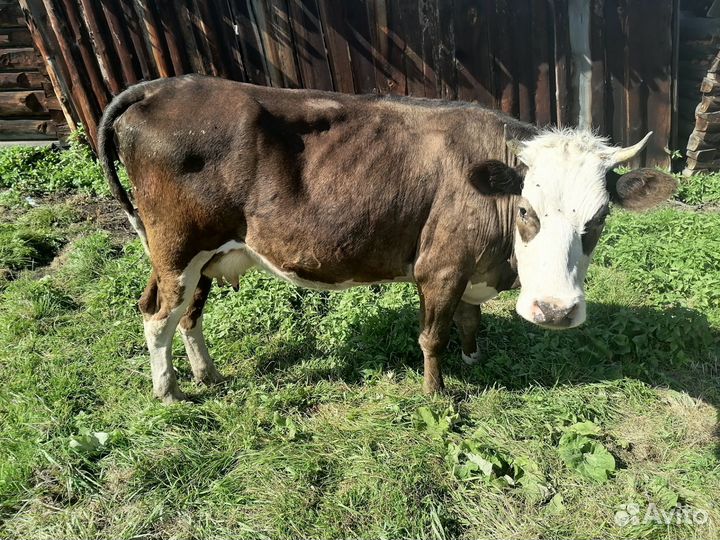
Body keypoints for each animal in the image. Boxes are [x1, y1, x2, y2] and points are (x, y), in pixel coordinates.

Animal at [98, 75, 677, 402]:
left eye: (598, 219)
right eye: (527, 211)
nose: (554, 311)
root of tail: (161, 86)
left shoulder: (468, 269)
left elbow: (470, 321)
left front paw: (474, 361)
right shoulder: (439, 267)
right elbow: (432, 336)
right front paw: (436, 395)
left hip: (200, 255)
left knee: (185, 313)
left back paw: (208, 375)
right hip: (177, 245)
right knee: (158, 315)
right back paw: (168, 393)